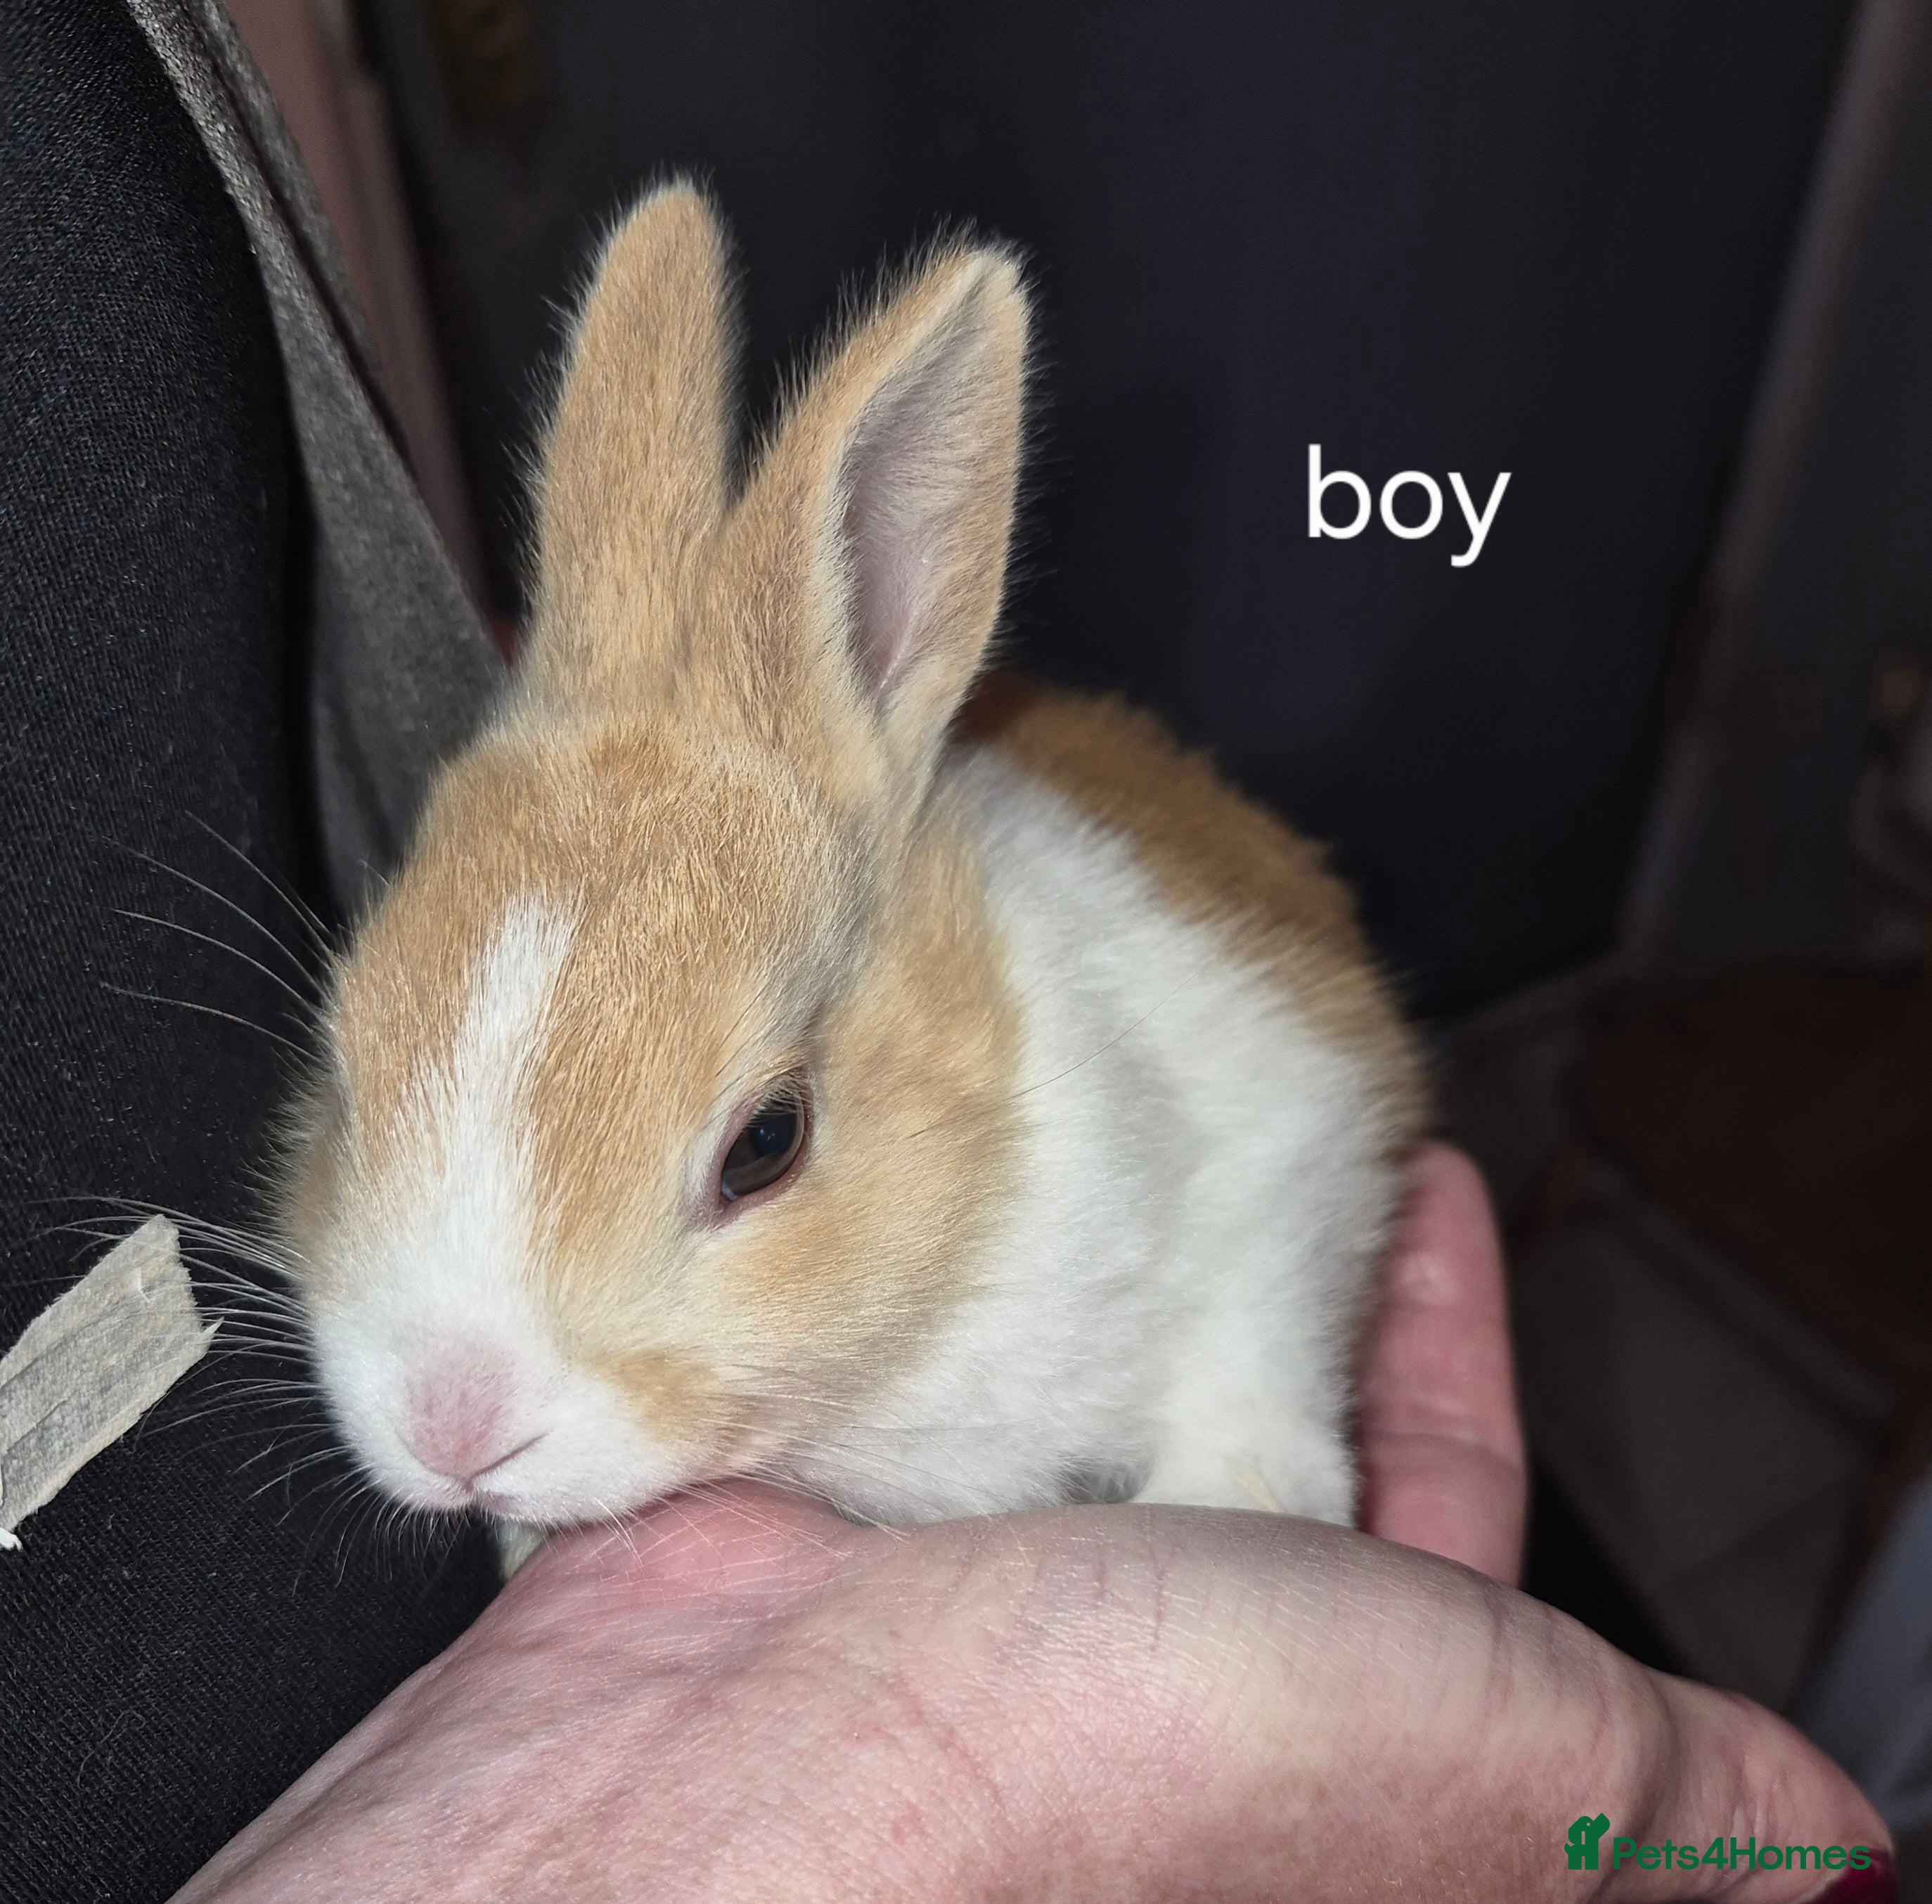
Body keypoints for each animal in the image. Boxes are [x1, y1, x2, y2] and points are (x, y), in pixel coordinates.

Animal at [280, 184, 1427, 1554]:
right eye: (343, 1071)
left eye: (765, 1144)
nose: (452, 1424)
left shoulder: (1294, 1145)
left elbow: (1250, 1339)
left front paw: (1232, 1493)